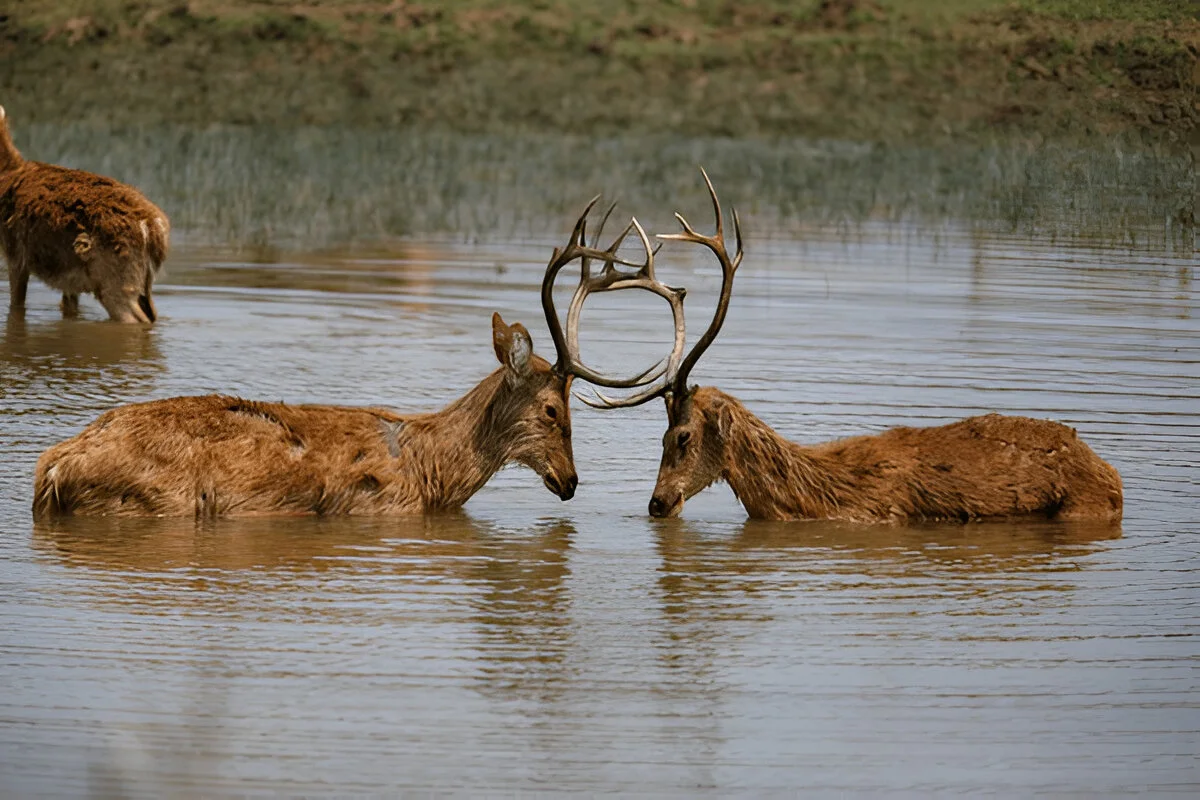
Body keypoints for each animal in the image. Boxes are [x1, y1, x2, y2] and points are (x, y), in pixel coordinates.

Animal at [0, 104, 171, 323]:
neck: (7, 173)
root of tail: (152, 229)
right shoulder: (69, 277)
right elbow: (68, 307)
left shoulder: (15, 251)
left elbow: (17, 303)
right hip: (142, 281)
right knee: (152, 314)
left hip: (117, 278)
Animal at [32, 196, 672, 515]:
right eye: (553, 412)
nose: (570, 482)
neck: (433, 470)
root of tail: (52, 469)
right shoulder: (379, 506)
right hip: (154, 499)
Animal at [580, 170, 1123, 525]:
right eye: (660, 437)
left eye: (682, 436)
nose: (656, 504)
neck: (814, 499)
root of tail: (1110, 472)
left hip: (1083, 507)